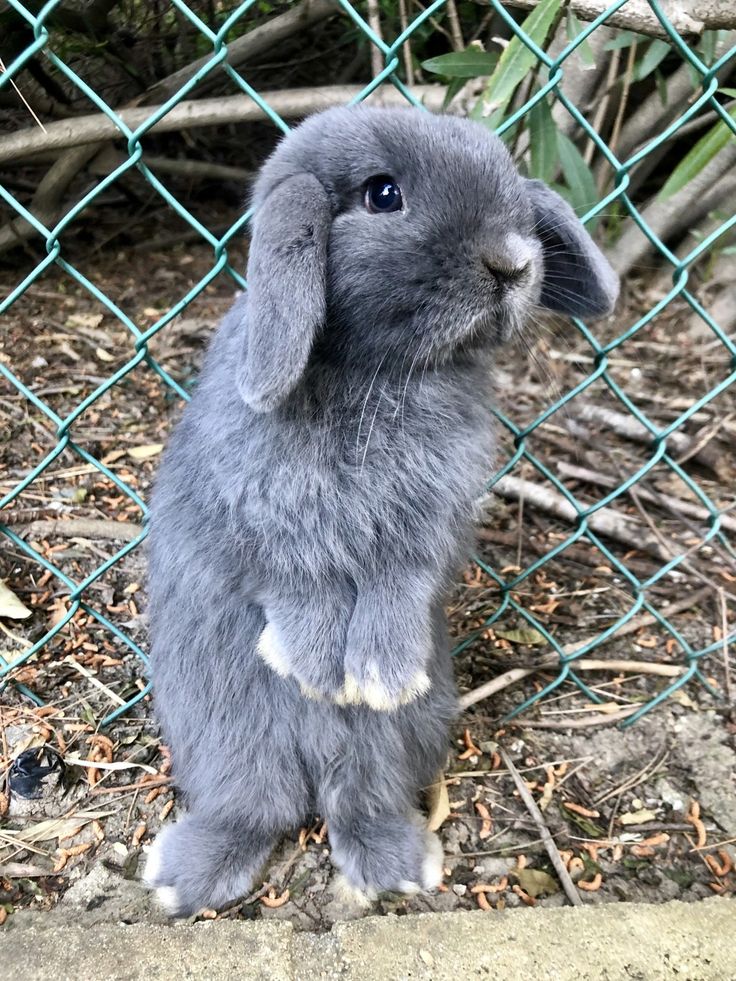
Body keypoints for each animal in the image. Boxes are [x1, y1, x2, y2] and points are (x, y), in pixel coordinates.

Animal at [143, 105, 618, 916]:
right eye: (384, 194)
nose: (514, 262)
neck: (382, 372)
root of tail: (308, 766)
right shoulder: (259, 511)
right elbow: (298, 576)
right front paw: (311, 662)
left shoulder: (430, 527)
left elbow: (399, 582)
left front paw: (379, 674)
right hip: (220, 722)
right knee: (252, 802)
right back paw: (185, 879)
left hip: (396, 741)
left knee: (358, 799)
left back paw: (394, 866)